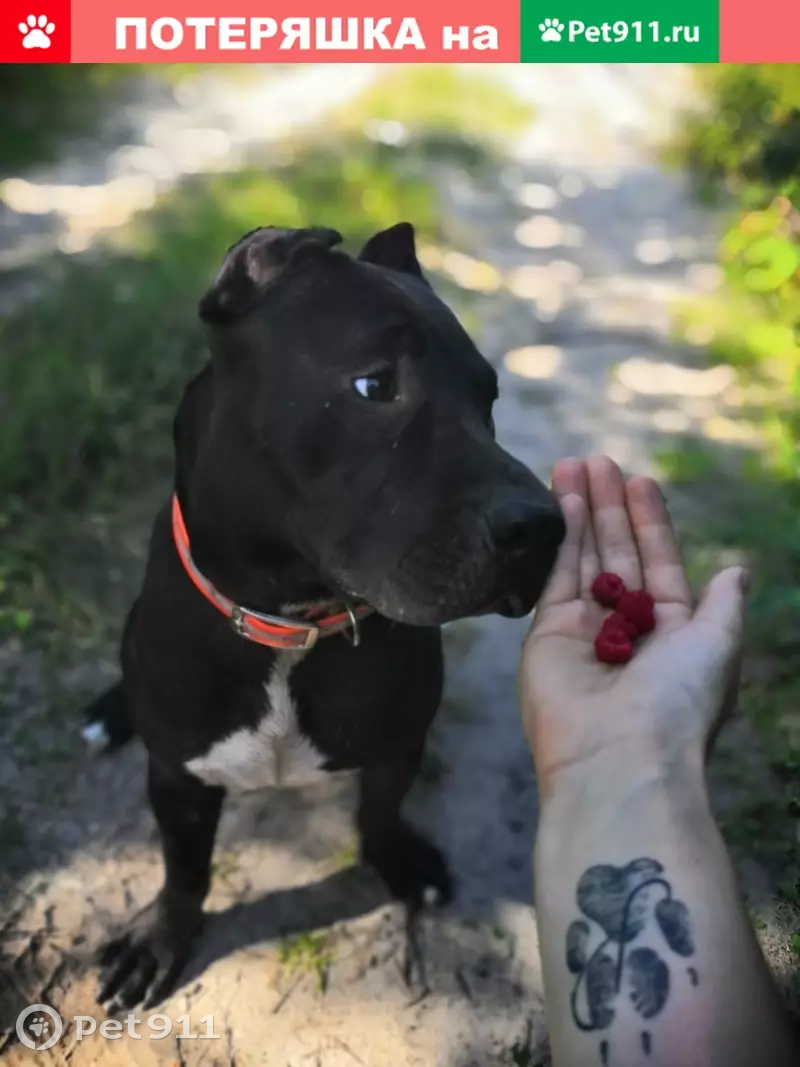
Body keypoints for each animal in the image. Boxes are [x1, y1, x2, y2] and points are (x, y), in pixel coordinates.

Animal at [85, 222, 566, 1011]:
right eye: (375, 384)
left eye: (488, 395)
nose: (544, 526)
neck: (291, 622)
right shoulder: (179, 778)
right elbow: (185, 868)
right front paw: (158, 939)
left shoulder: (399, 742)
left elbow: (379, 811)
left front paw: (399, 860)